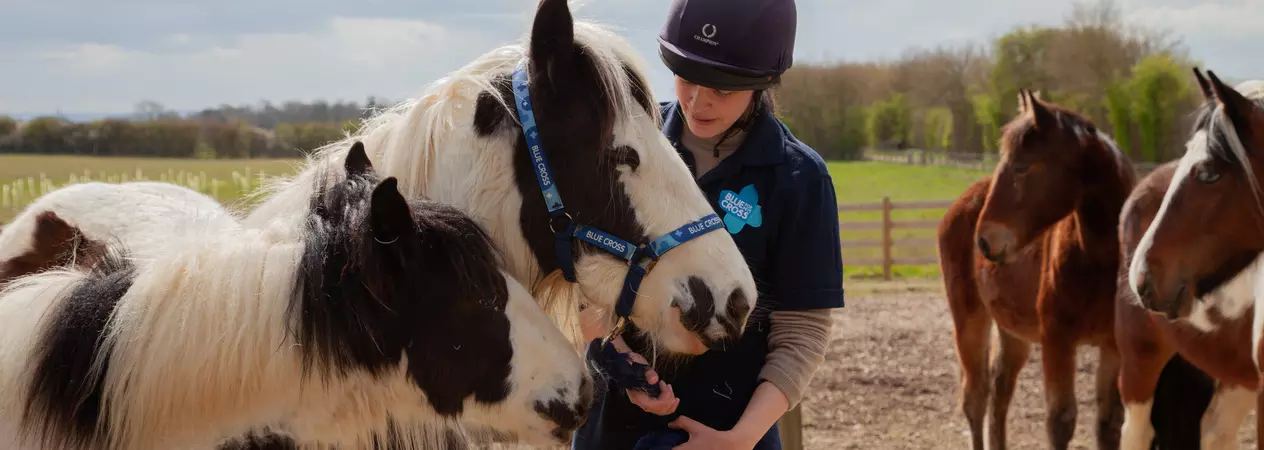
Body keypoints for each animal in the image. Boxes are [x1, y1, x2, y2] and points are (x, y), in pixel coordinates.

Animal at [937, 89, 1135, 450]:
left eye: (1021, 167)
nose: (984, 241)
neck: (1100, 260)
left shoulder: (1114, 345)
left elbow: (1108, 424)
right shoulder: (1057, 340)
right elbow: (1060, 422)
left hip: (1012, 331)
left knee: (1000, 392)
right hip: (970, 320)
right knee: (976, 397)